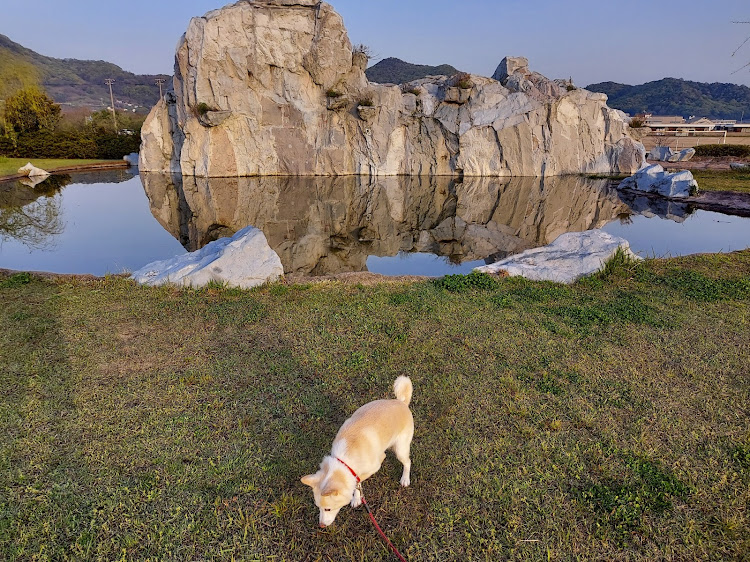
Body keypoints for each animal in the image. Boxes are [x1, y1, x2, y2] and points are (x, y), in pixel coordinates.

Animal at [302, 376, 418, 524]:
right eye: (318, 507)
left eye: (328, 509)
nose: (321, 526)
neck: (345, 458)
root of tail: (402, 402)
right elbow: (358, 483)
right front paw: (357, 497)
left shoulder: (374, 465)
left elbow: (358, 482)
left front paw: (355, 496)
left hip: (400, 449)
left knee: (407, 462)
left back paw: (405, 479)